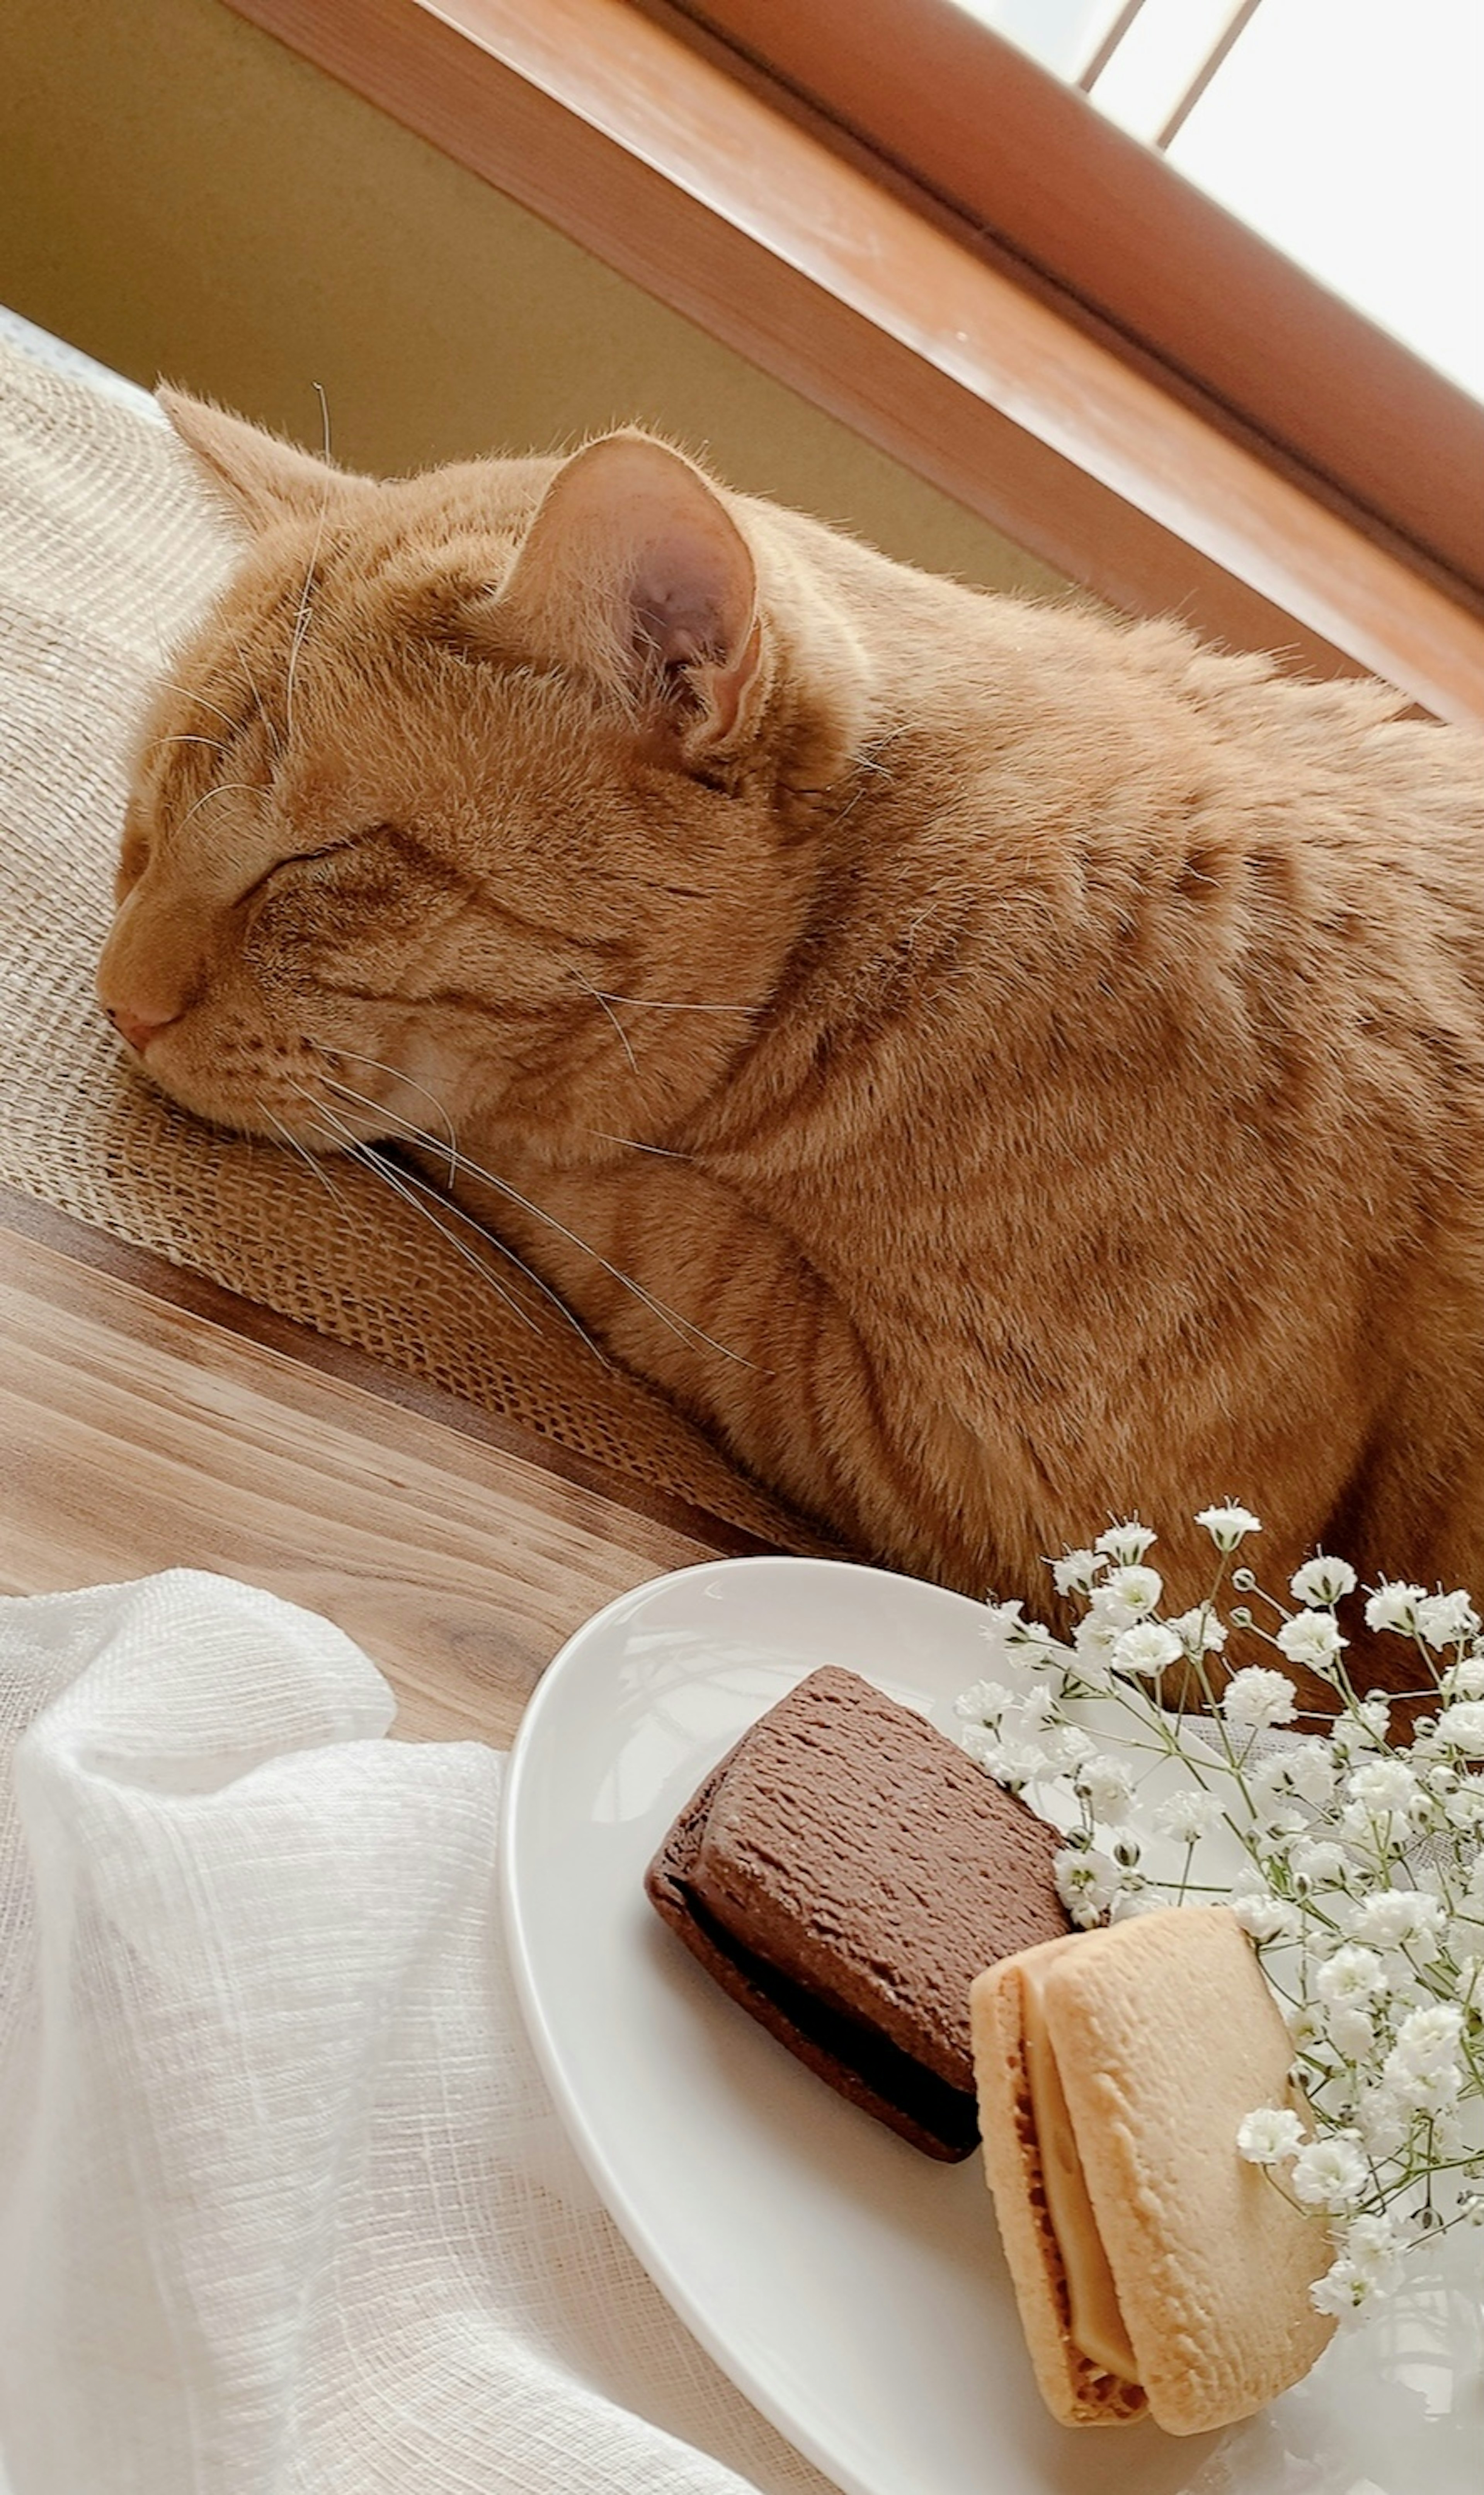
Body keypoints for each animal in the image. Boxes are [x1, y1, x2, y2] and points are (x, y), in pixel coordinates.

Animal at [98, 389, 1484, 1657]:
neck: (907, 899)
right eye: (145, 830)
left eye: (314, 863)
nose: (118, 1001)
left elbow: (623, 1213)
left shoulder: (1092, 1520)